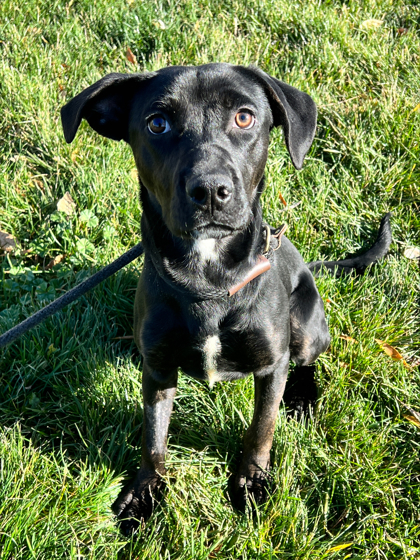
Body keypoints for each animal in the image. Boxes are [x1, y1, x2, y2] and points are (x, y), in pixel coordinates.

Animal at [60, 63, 390, 536]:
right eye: (157, 124)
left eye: (245, 117)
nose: (211, 190)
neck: (209, 279)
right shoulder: (158, 369)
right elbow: (153, 439)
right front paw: (145, 492)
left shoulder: (271, 364)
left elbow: (262, 429)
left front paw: (250, 483)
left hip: (306, 325)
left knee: (307, 359)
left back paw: (304, 397)